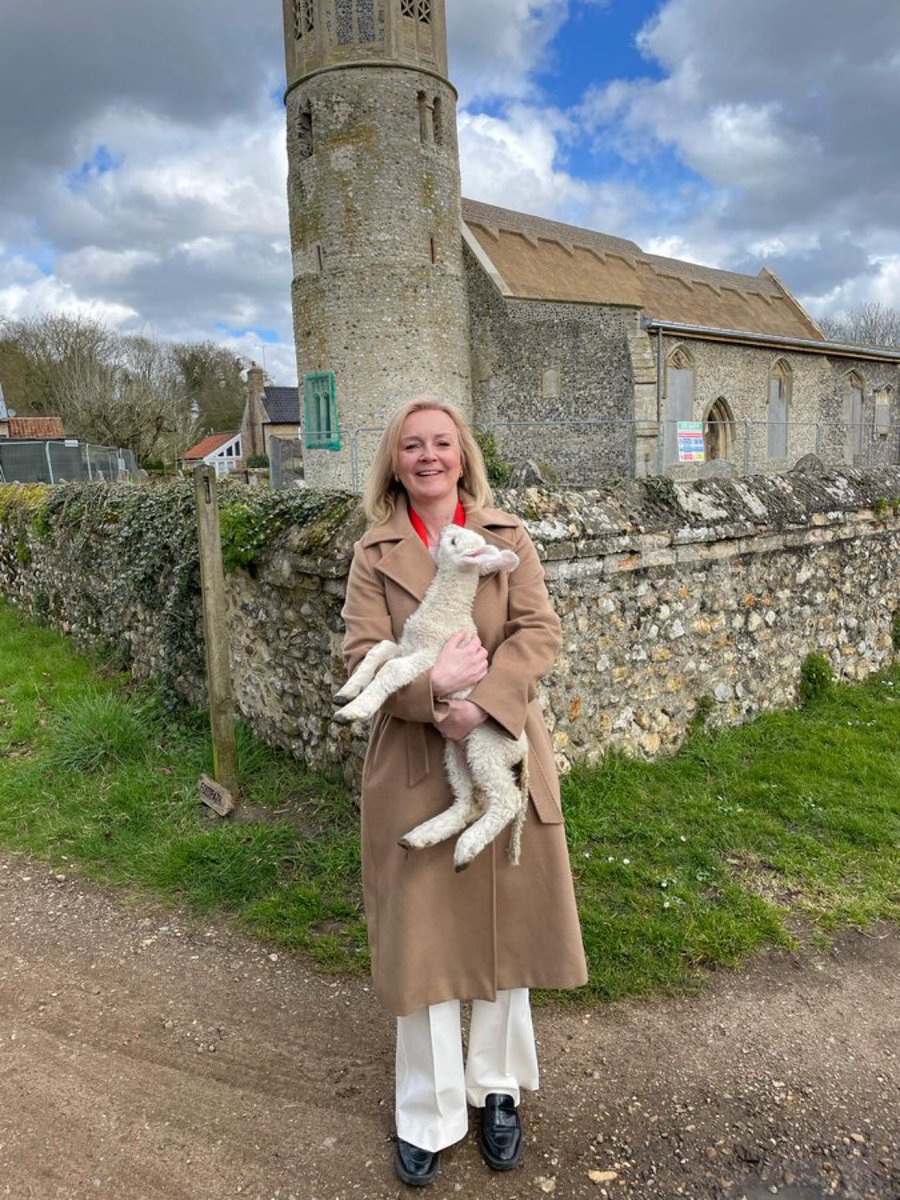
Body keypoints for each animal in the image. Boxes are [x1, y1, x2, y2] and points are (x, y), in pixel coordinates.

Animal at [336, 525, 528, 873]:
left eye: (453, 541)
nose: (447, 528)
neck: (445, 609)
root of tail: (523, 748)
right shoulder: (406, 645)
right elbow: (378, 650)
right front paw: (348, 690)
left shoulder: (430, 657)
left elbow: (392, 669)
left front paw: (356, 710)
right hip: (456, 753)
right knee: (470, 802)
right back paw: (421, 837)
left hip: (487, 747)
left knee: (507, 799)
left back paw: (466, 848)